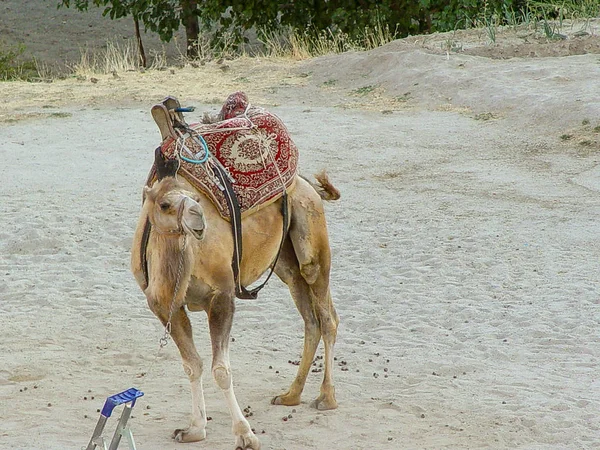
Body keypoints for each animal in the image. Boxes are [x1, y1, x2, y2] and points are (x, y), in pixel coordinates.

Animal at [129, 143, 340, 446]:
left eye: (196, 198)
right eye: (164, 204)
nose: (198, 217)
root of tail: (306, 183)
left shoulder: (222, 295)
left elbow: (221, 370)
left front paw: (245, 435)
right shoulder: (165, 305)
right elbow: (192, 364)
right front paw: (194, 430)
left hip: (312, 233)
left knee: (326, 313)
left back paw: (326, 397)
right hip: (285, 263)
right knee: (310, 317)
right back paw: (291, 395)